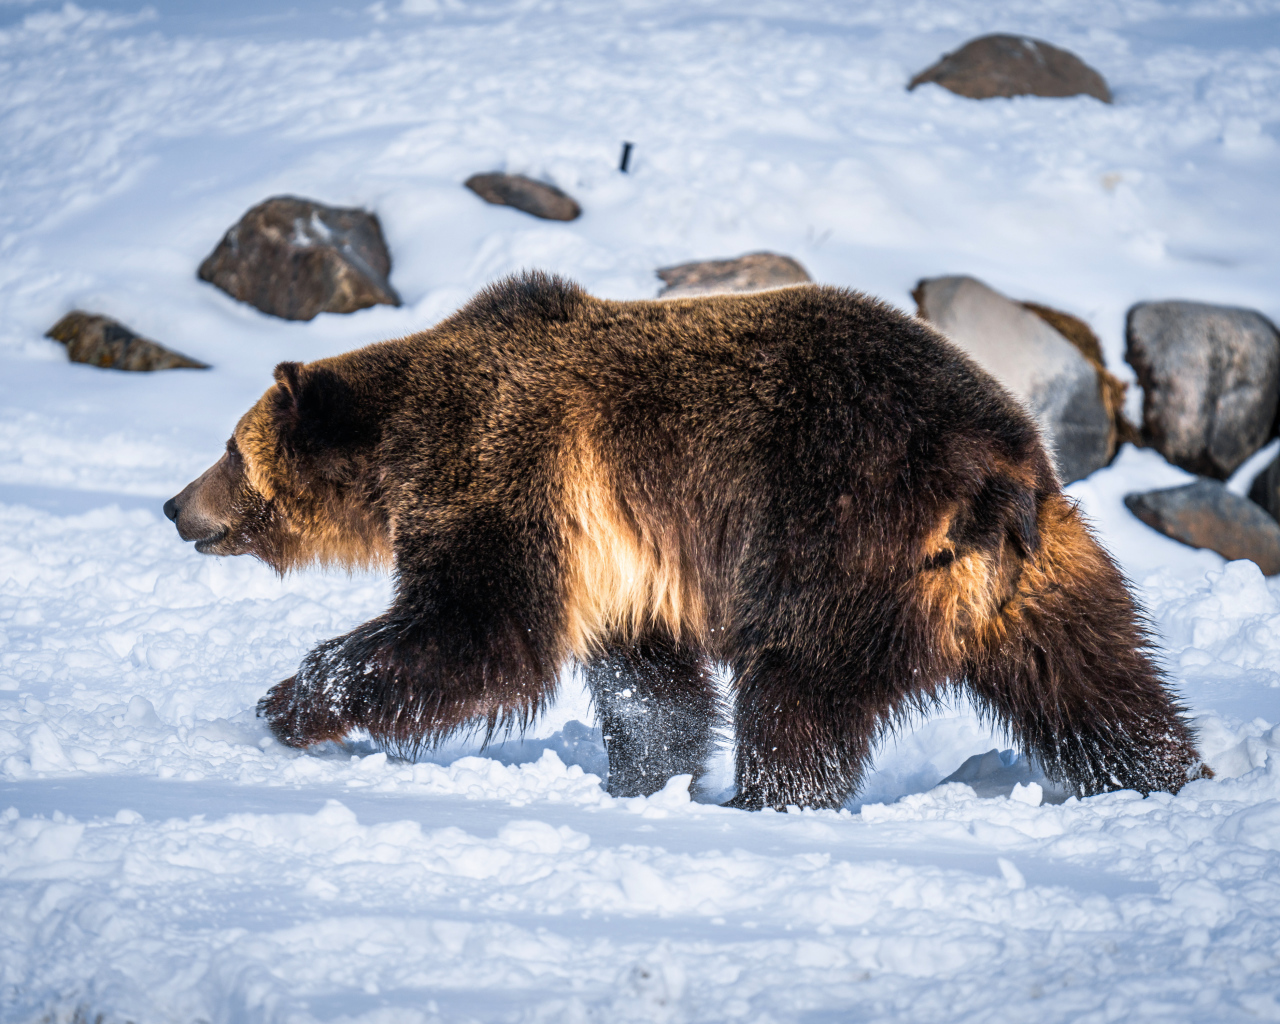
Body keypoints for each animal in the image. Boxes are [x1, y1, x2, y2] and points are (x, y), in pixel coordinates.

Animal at [164, 272, 1205, 809]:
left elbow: (479, 630)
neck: (402, 447)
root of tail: (995, 473)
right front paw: (642, 778)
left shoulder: (509, 473)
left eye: (229, 448)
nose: (175, 505)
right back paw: (1167, 775)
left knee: (796, 699)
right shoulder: (625, 562)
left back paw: (770, 799)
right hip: (1047, 569)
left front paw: (292, 700)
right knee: (1102, 682)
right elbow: (650, 688)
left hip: (836, 545)